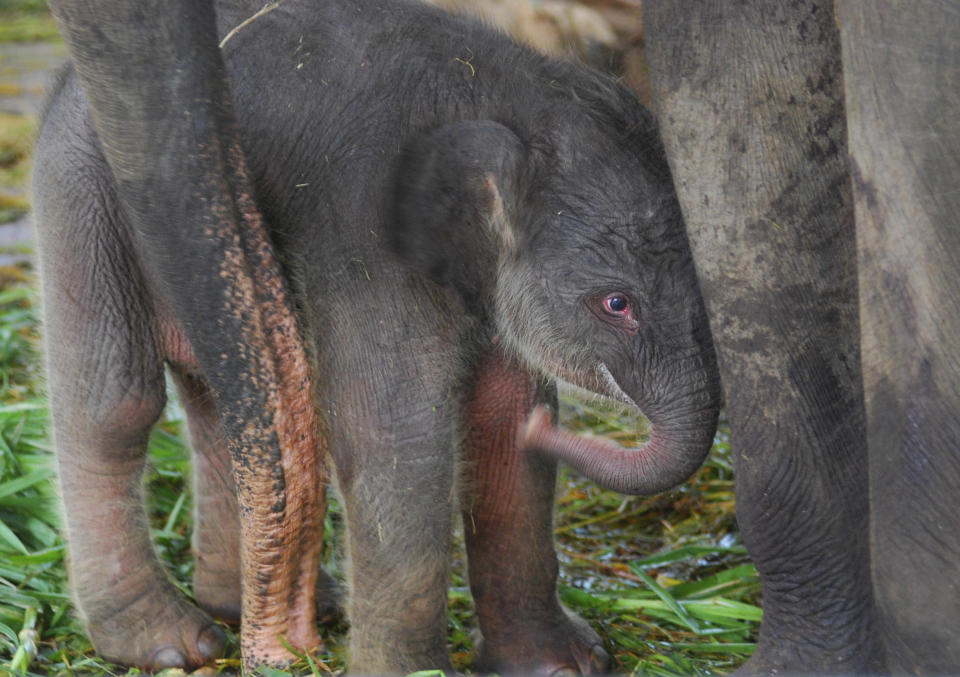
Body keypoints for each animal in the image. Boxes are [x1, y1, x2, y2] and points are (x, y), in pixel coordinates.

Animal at [30, 0, 720, 672]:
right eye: (616, 303)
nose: (554, 433)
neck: (500, 92)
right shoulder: (370, 246)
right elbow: (396, 433)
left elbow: (503, 416)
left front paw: (567, 665)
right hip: (80, 190)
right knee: (116, 400)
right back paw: (172, 645)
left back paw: (271, 608)